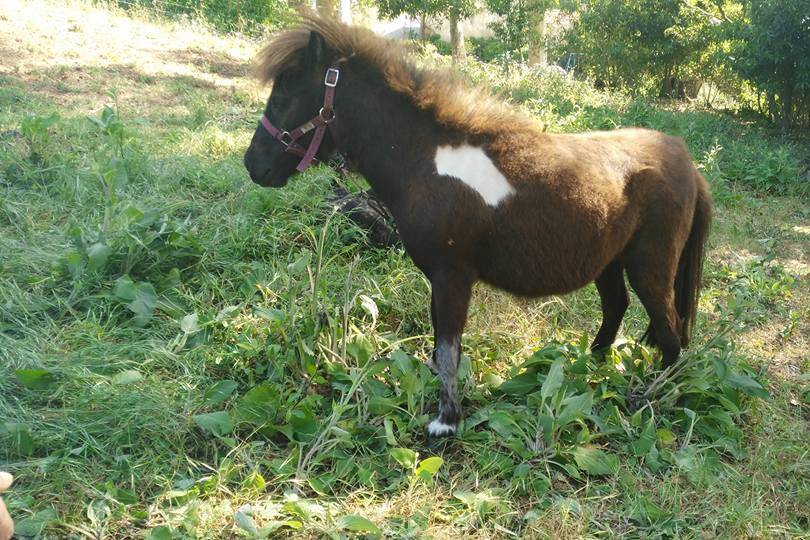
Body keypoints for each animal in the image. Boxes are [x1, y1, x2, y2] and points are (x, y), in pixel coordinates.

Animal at [243, 14, 712, 438]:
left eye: (284, 92)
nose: (253, 165)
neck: (426, 160)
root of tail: (686, 162)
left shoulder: (453, 277)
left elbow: (448, 348)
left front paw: (445, 421)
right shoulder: (439, 279)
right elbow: (441, 345)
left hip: (650, 268)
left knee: (671, 336)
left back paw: (652, 398)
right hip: (610, 262)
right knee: (617, 308)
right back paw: (586, 371)